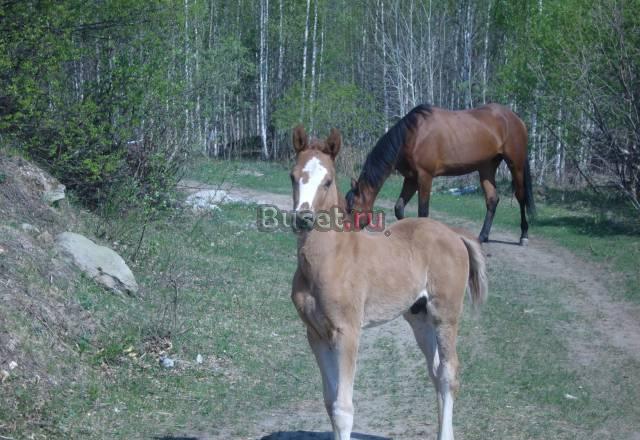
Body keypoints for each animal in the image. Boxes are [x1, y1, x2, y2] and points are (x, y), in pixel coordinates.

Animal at [289, 125, 488, 440]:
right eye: (293, 175)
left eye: (328, 180)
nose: (303, 219)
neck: (330, 258)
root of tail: (454, 234)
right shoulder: (316, 334)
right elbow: (330, 402)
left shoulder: (348, 332)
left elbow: (343, 409)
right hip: (419, 317)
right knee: (435, 372)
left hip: (445, 315)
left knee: (448, 373)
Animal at [345, 103, 535, 245]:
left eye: (353, 208)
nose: (348, 233)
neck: (412, 135)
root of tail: (516, 118)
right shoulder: (411, 178)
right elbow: (399, 208)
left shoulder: (425, 177)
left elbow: (423, 211)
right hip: (486, 168)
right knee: (492, 200)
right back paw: (482, 237)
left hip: (516, 164)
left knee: (521, 197)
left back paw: (524, 235)